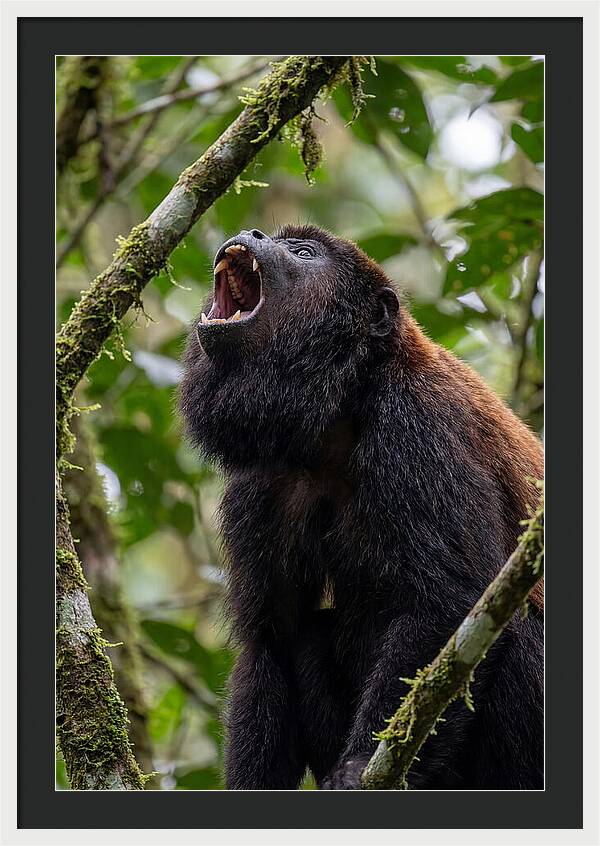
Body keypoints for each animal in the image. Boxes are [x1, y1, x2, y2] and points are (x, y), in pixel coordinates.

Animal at [179, 225, 544, 790]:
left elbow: (450, 601)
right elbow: (272, 639)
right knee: (308, 636)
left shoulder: (416, 426)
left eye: (303, 253)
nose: (253, 232)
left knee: (518, 625)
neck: (340, 410)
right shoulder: (261, 483)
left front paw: (355, 768)